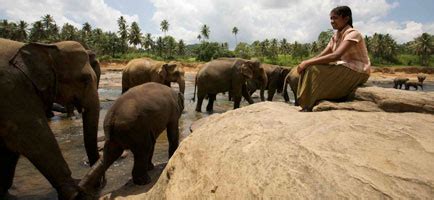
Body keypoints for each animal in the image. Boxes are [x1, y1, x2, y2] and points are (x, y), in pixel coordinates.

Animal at [0, 38, 99, 199]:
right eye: (84, 79)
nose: (99, 185)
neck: (48, 47)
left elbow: (10, 146)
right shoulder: (12, 89)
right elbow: (32, 136)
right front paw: (76, 194)